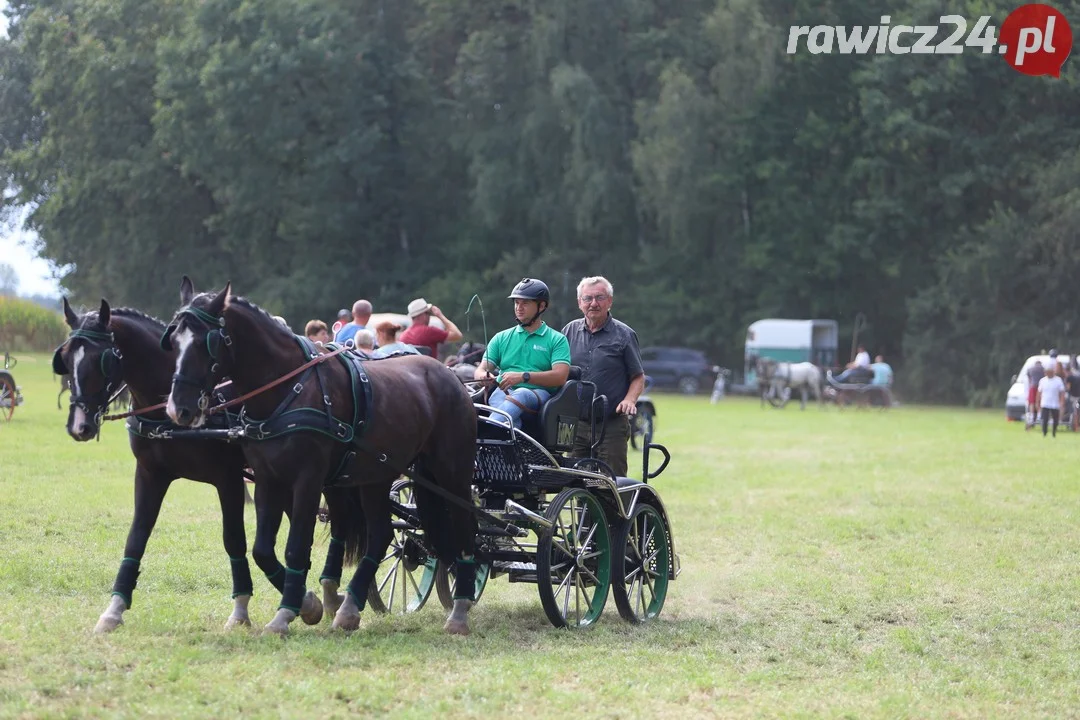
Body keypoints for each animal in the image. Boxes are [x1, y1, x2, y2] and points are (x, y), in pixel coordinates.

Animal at [53, 295, 358, 634]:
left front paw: (243, 610)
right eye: (65, 358)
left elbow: (234, 540)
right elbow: (136, 539)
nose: (79, 426)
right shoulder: (150, 474)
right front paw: (114, 609)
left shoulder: (228, 479)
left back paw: (335, 597)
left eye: (101, 359)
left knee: (342, 523)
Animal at [163, 278, 477, 634]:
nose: (178, 408)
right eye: (173, 340)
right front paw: (308, 605)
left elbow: (296, 547)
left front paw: (286, 614)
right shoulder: (269, 480)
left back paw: (460, 611)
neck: (287, 391)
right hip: (378, 474)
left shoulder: (308, 481)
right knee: (381, 534)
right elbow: (262, 550)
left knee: (465, 528)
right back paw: (350, 609)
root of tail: (452, 377)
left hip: (452, 472)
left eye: (207, 342)